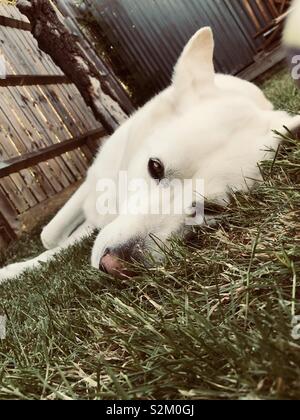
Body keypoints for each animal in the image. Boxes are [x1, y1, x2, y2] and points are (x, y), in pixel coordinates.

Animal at [0, 27, 300, 282]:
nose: (113, 266)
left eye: (211, 209)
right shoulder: (91, 184)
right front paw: (14, 269)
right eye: (155, 167)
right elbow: (49, 237)